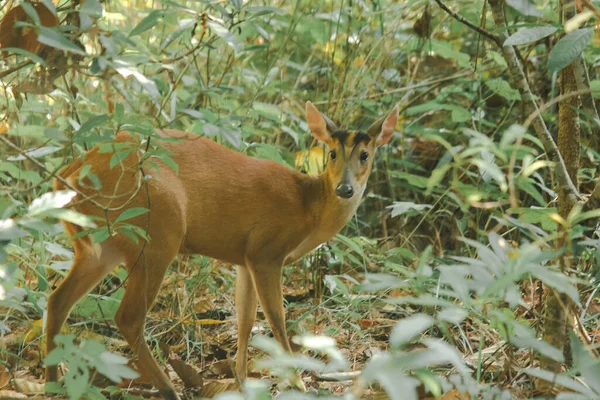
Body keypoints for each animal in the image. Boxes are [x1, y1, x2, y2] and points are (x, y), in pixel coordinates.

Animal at [44, 101, 396, 398]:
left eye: (365, 155)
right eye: (332, 153)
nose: (345, 188)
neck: (308, 207)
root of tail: (71, 174)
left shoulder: (244, 257)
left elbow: (245, 320)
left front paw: (241, 381)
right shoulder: (266, 250)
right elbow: (276, 320)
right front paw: (297, 382)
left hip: (100, 246)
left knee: (57, 300)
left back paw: (52, 381)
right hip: (157, 230)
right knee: (128, 317)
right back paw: (168, 389)